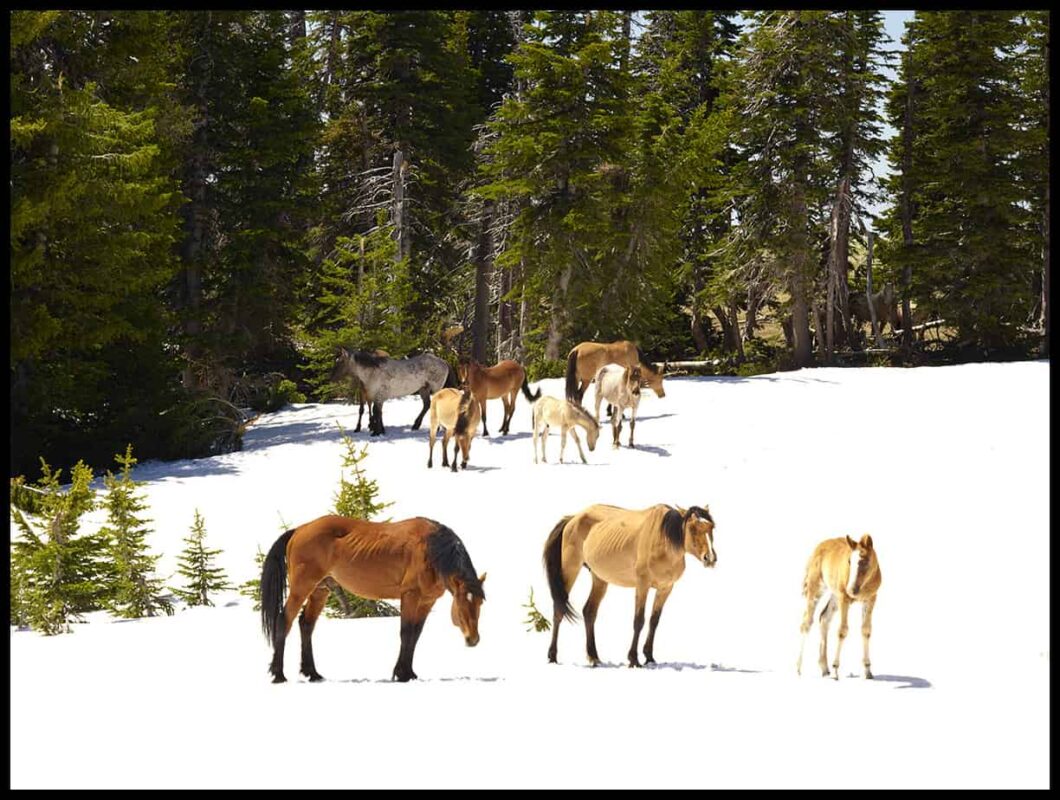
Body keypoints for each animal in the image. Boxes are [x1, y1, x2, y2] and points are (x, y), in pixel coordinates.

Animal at [260, 519, 485, 682]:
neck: (431, 550)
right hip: (302, 587)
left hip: (320, 590)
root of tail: (299, 530)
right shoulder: (410, 595)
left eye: (480, 603)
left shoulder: (427, 601)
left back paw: (312, 674)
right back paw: (279, 675)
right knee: (284, 620)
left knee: (306, 624)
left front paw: (410, 673)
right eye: (461, 600)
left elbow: (415, 635)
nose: (473, 639)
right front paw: (401, 674)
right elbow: (406, 633)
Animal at [542, 504, 716, 665]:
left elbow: (654, 621)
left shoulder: (665, 588)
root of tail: (573, 517)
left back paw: (593, 657)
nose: (710, 558)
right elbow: (639, 621)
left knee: (589, 612)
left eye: (712, 528)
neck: (663, 538)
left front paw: (649, 657)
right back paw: (553, 656)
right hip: (570, 568)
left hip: (599, 578)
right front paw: (633, 659)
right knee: (559, 609)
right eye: (692, 528)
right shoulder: (642, 585)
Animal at [797, 534, 881, 678]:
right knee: (806, 623)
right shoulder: (844, 597)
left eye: (865, 561)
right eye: (849, 561)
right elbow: (842, 631)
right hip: (816, 588)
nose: (851, 590)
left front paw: (868, 671)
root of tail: (817, 548)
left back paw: (824, 668)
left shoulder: (871, 598)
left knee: (824, 617)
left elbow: (866, 631)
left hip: (834, 595)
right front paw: (836, 670)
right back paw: (799, 668)